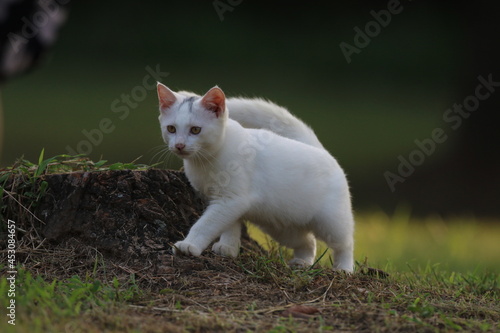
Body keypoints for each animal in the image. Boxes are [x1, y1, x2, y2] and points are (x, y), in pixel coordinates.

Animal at [157, 82, 356, 270]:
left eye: (195, 130)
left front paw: (189, 245)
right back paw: (302, 262)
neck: (205, 162)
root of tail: (320, 150)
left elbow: (206, 224)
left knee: (345, 244)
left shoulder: (231, 199)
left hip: (331, 222)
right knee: (308, 242)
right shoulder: (224, 201)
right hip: (280, 226)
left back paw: (344, 268)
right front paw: (229, 248)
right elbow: (230, 225)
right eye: (171, 129)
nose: (179, 145)